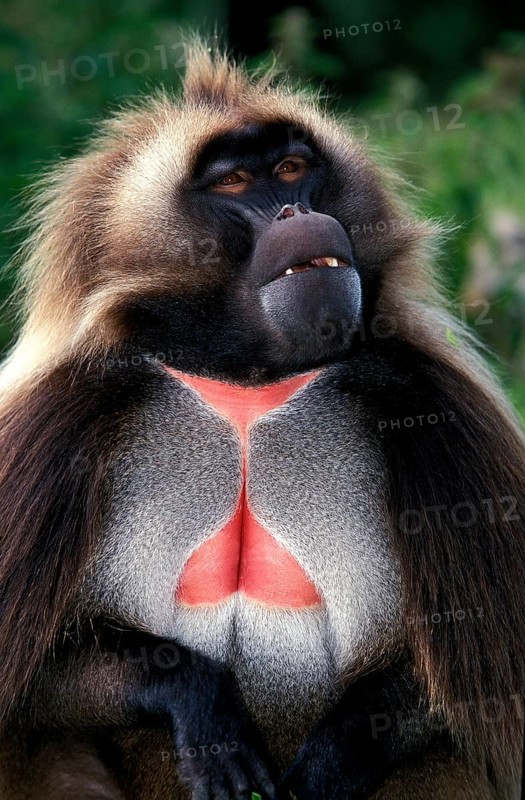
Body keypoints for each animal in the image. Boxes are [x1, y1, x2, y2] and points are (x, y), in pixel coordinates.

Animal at [0, 37, 524, 800]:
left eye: (291, 170)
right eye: (235, 183)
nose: (294, 212)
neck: (248, 382)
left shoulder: (438, 407)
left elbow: (477, 696)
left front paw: (333, 757)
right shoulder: (60, 414)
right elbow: (32, 686)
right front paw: (199, 705)